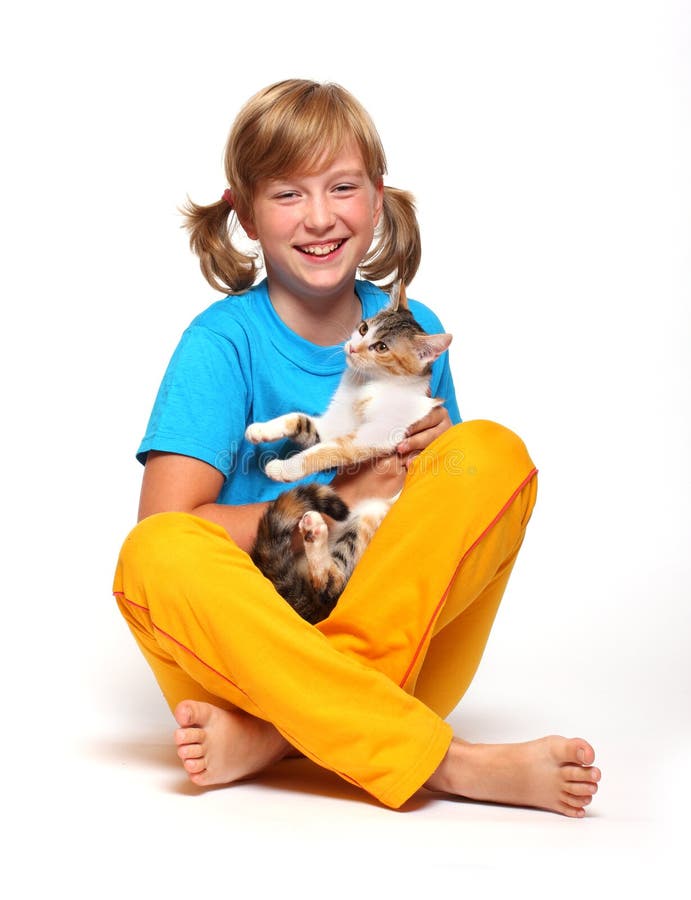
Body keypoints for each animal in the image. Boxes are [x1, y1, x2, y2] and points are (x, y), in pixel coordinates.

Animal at [249, 284, 454, 624]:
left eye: (381, 347)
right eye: (363, 329)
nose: (353, 348)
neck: (367, 386)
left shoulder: (376, 435)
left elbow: (328, 450)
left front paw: (285, 468)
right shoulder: (334, 424)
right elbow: (301, 422)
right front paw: (262, 429)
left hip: (368, 522)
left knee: (331, 583)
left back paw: (316, 538)